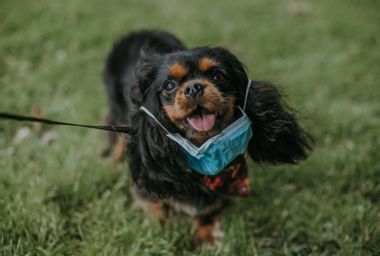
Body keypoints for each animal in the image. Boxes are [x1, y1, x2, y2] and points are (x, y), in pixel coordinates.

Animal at [101, 31, 312, 245]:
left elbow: (207, 212)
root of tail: (142, 31)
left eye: (217, 75)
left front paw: (206, 235)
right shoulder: (146, 188)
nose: (193, 87)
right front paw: (166, 229)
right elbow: (158, 208)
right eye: (169, 85)